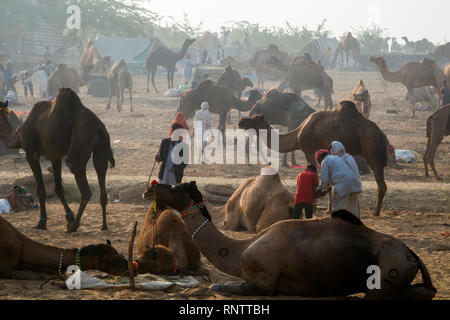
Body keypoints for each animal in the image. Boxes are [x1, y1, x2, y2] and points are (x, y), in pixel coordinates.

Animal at [0, 92, 116, 232]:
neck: (18, 135)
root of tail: (98, 126)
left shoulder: (31, 153)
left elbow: (41, 189)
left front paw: (42, 223)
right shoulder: (55, 156)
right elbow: (59, 189)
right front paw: (69, 217)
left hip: (80, 144)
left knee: (83, 185)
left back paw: (74, 227)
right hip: (101, 148)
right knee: (101, 173)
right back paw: (103, 226)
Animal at [143, 182, 436, 300]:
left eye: (175, 187)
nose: (150, 188)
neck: (238, 250)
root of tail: (411, 254)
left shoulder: (260, 284)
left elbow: (219, 284)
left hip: (385, 276)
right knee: (422, 292)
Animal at [241, 100, 392, 218]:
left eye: (254, 118)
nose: (241, 122)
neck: (297, 135)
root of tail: (382, 135)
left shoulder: (309, 151)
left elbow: (315, 177)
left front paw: (313, 207)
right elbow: (329, 184)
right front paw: (328, 209)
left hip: (372, 148)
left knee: (380, 182)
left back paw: (375, 212)